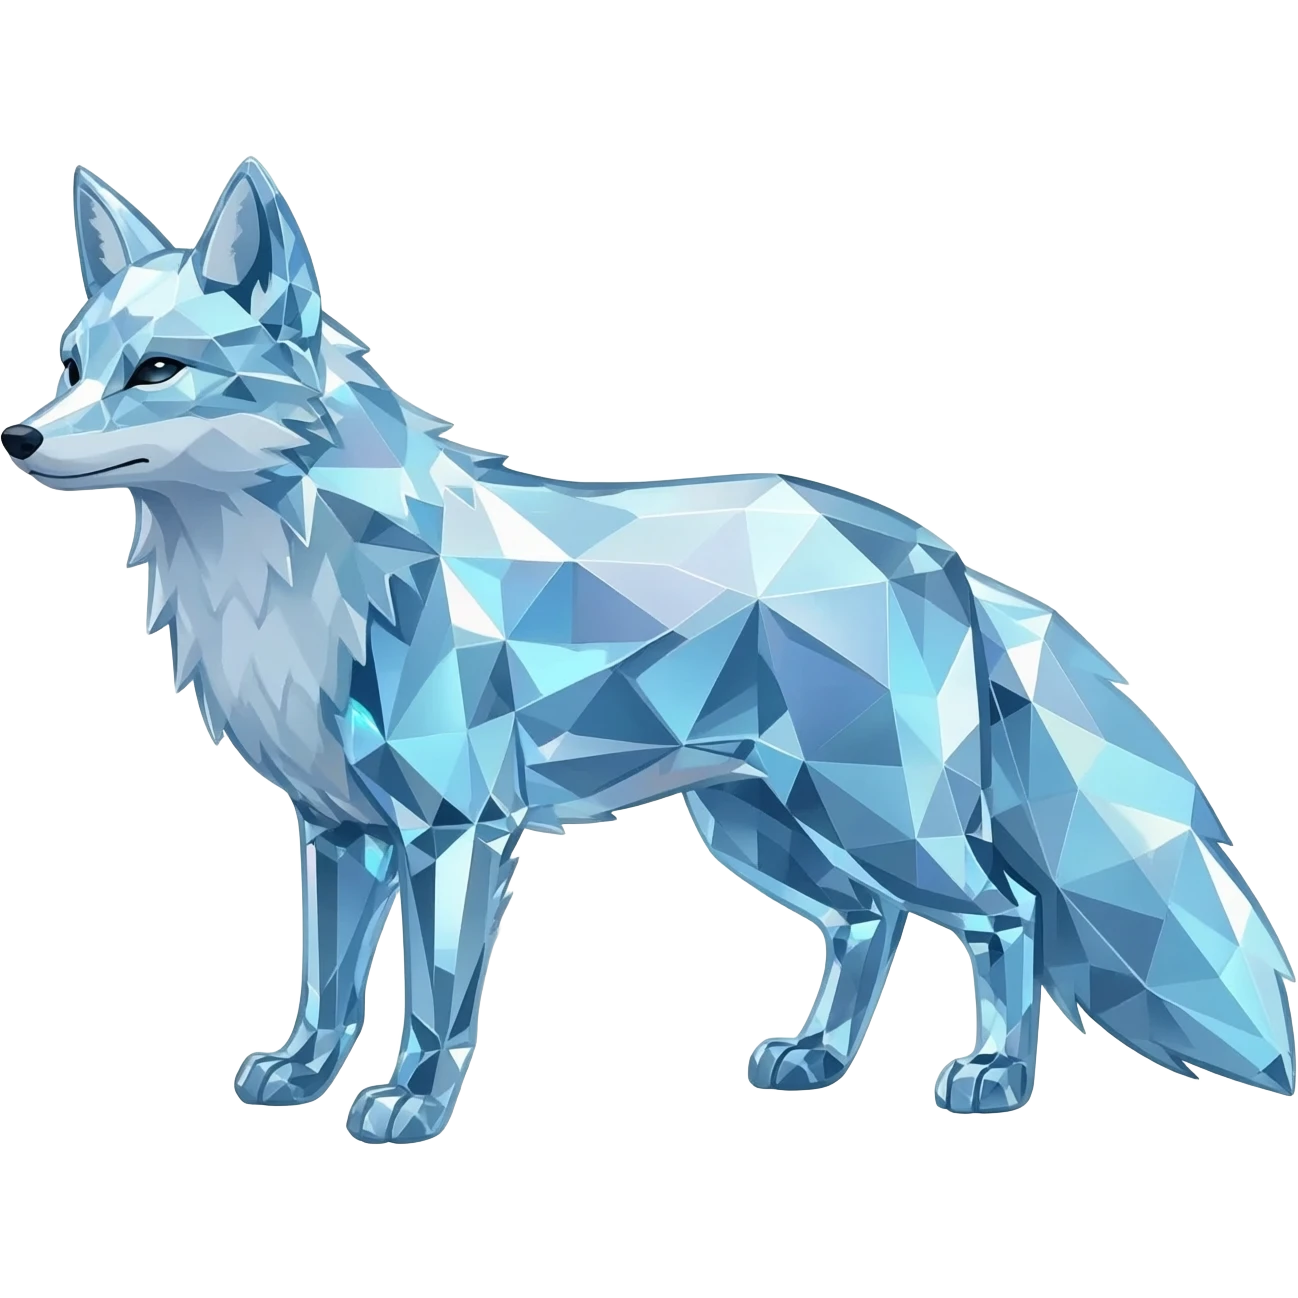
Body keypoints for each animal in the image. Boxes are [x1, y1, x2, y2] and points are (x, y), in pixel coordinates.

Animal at [4, 156, 1293, 1145]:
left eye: (157, 371)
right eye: (71, 366)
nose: (18, 437)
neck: (305, 578)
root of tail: (940, 555)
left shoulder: (459, 832)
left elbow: (433, 1001)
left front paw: (410, 1104)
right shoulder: (335, 832)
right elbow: (324, 988)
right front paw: (300, 1075)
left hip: (886, 827)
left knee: (1005, 914)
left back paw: (995, 1082)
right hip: (766, 833)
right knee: (869, 926)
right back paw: (815, 1057)